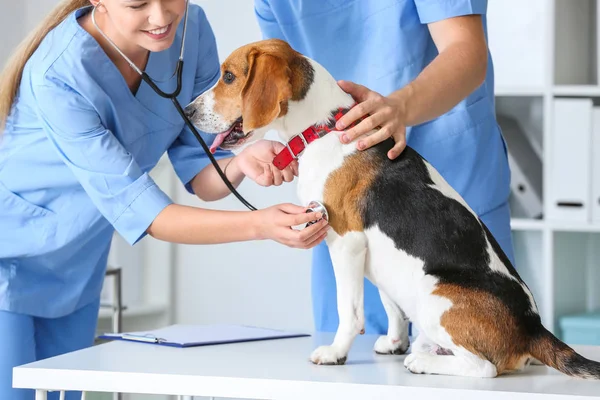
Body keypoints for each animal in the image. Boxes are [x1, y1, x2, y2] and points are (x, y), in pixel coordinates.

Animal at [183, 38, 600, 378]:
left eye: (229, 76)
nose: (186, 111)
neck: (323, 128)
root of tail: (532, 327)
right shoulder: (373, 252)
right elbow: (389, 304)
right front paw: (394, 341)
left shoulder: (347, 241)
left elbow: (349, 310)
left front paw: (335, 352)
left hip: (435, 293)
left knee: (484, 368)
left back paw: (423, 361)